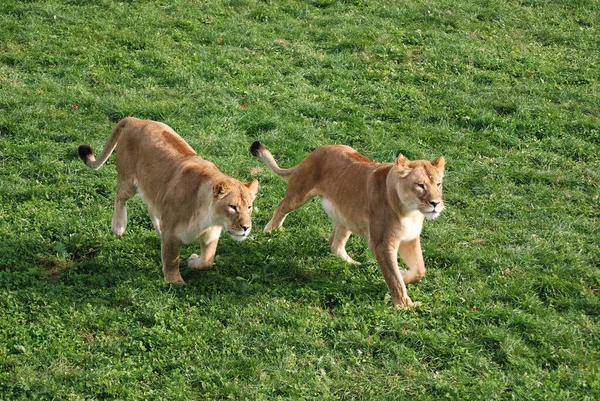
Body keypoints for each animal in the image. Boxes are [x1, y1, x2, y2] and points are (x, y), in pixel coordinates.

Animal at [78, 117, 258, 282]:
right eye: (233, 207)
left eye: (249, 207)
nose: (246, 227)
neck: (208, 218)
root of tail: (135, 119)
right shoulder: (172, 234)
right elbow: (172, 259)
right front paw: (174, 282)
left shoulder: (211, 236)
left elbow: (207, 262)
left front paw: (193, 260)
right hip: (128, 181)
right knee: (119, 197)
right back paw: (119, 226)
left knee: (151, 207)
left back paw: (158, 230)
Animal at [250, 142, 446, 308]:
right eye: (420, 185)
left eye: (438, 184)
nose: (436, 203)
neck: (411, 212)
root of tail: (319, 149)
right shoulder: (382, 244)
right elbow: (393, 278)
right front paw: (405, 305)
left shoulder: (410, 238)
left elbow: (420, 269)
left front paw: (404, 275)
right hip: (298, 194)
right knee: (282, 205)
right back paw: (270, 230)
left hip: (345, 216)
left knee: (334, 244)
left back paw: (353, 264)